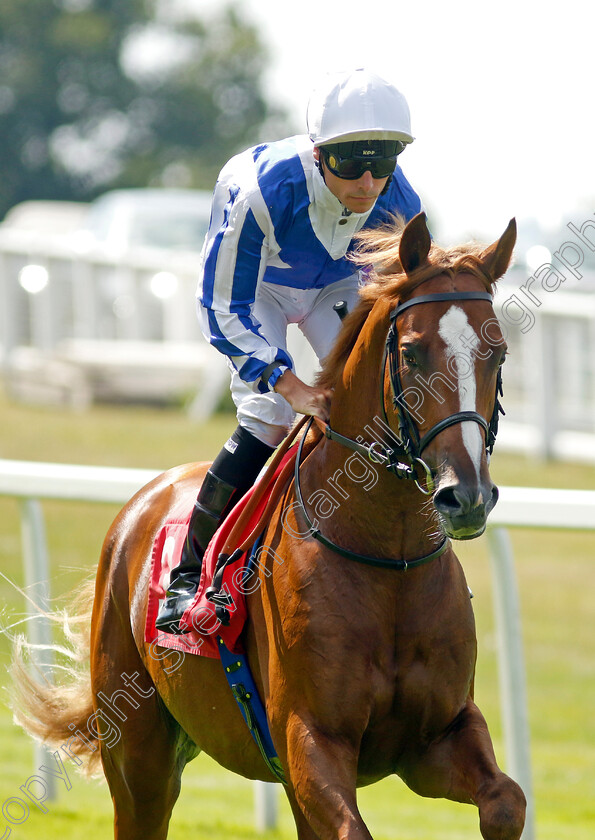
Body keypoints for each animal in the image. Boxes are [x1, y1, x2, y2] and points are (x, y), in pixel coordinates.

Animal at [15, 217, 528, 840]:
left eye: (497, 351)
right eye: (411, 352)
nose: (466, 496)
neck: (389, 558)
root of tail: (145, 498)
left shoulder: (435, 738)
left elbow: (506, 801)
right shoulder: (310, 738)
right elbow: (353, 828)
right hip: (139, 752)